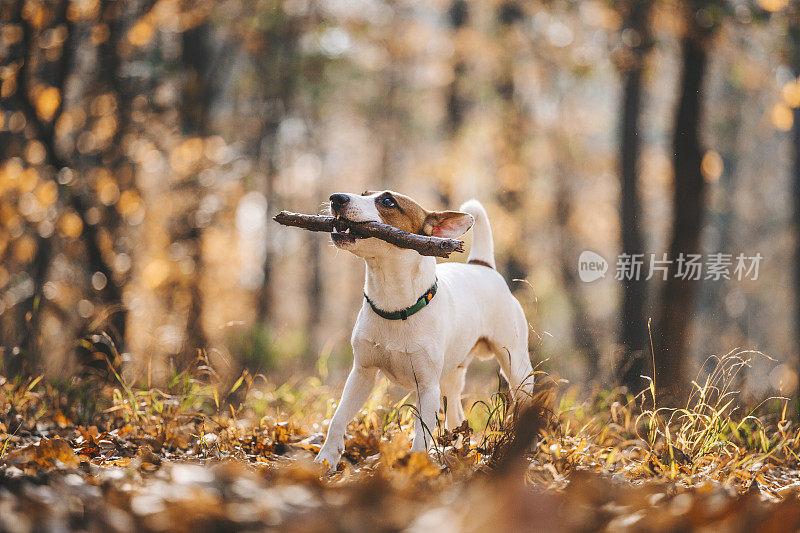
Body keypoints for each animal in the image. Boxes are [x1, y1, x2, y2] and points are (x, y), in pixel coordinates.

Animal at [316, 190, 536, 466]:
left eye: (388, 201)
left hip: (516, 366)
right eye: (364, 193)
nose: (337, 197)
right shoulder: (361, 373)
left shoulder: (428, 386)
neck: (396, 306)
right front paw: (324, 460)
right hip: (453, 371)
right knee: (455, 411)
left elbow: (421, 436)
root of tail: (482, 266)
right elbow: (338, 418)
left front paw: (415, 468)